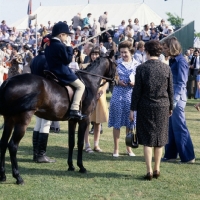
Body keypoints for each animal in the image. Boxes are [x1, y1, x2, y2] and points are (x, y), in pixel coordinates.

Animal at [0, 50, 115, 185]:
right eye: (116, 64)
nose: (115, 81)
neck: (88, 82)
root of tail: (8, 81)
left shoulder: (72, 120)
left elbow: (71, 142)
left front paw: (71, 166)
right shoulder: (84, 120)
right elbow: (80, 142)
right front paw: (81, 167)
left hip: (9, 120)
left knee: (3, 143)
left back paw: (3, 175)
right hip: (23, 120)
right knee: (13, 146)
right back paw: (18, 177)